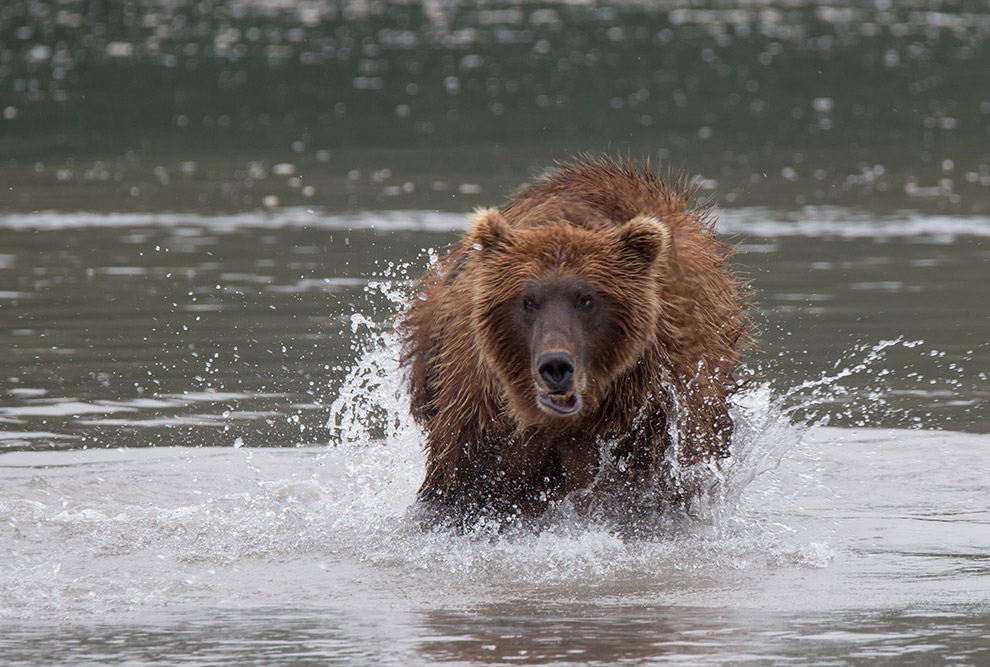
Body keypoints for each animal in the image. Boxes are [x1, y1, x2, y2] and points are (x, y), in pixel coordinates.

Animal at [400, 157, 748, 528]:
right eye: (528, 300)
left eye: (587, 299)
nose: (555, 365)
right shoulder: (481, 407)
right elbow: (464, 484)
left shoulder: (650, 410)